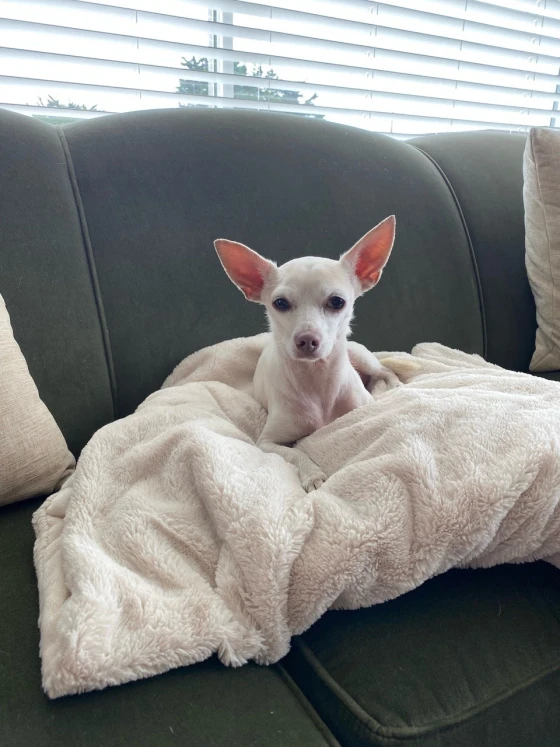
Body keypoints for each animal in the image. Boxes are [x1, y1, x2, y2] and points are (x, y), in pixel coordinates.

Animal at [213, 216, 402, 490]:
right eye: (280, 303)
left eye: (337, 302)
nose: (306, 339)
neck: (317, 382)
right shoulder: (267, 442)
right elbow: (296, 452)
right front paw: (313, 475)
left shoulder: (363, 408)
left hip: (361, 357)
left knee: (385, 369)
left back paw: (395, 385)